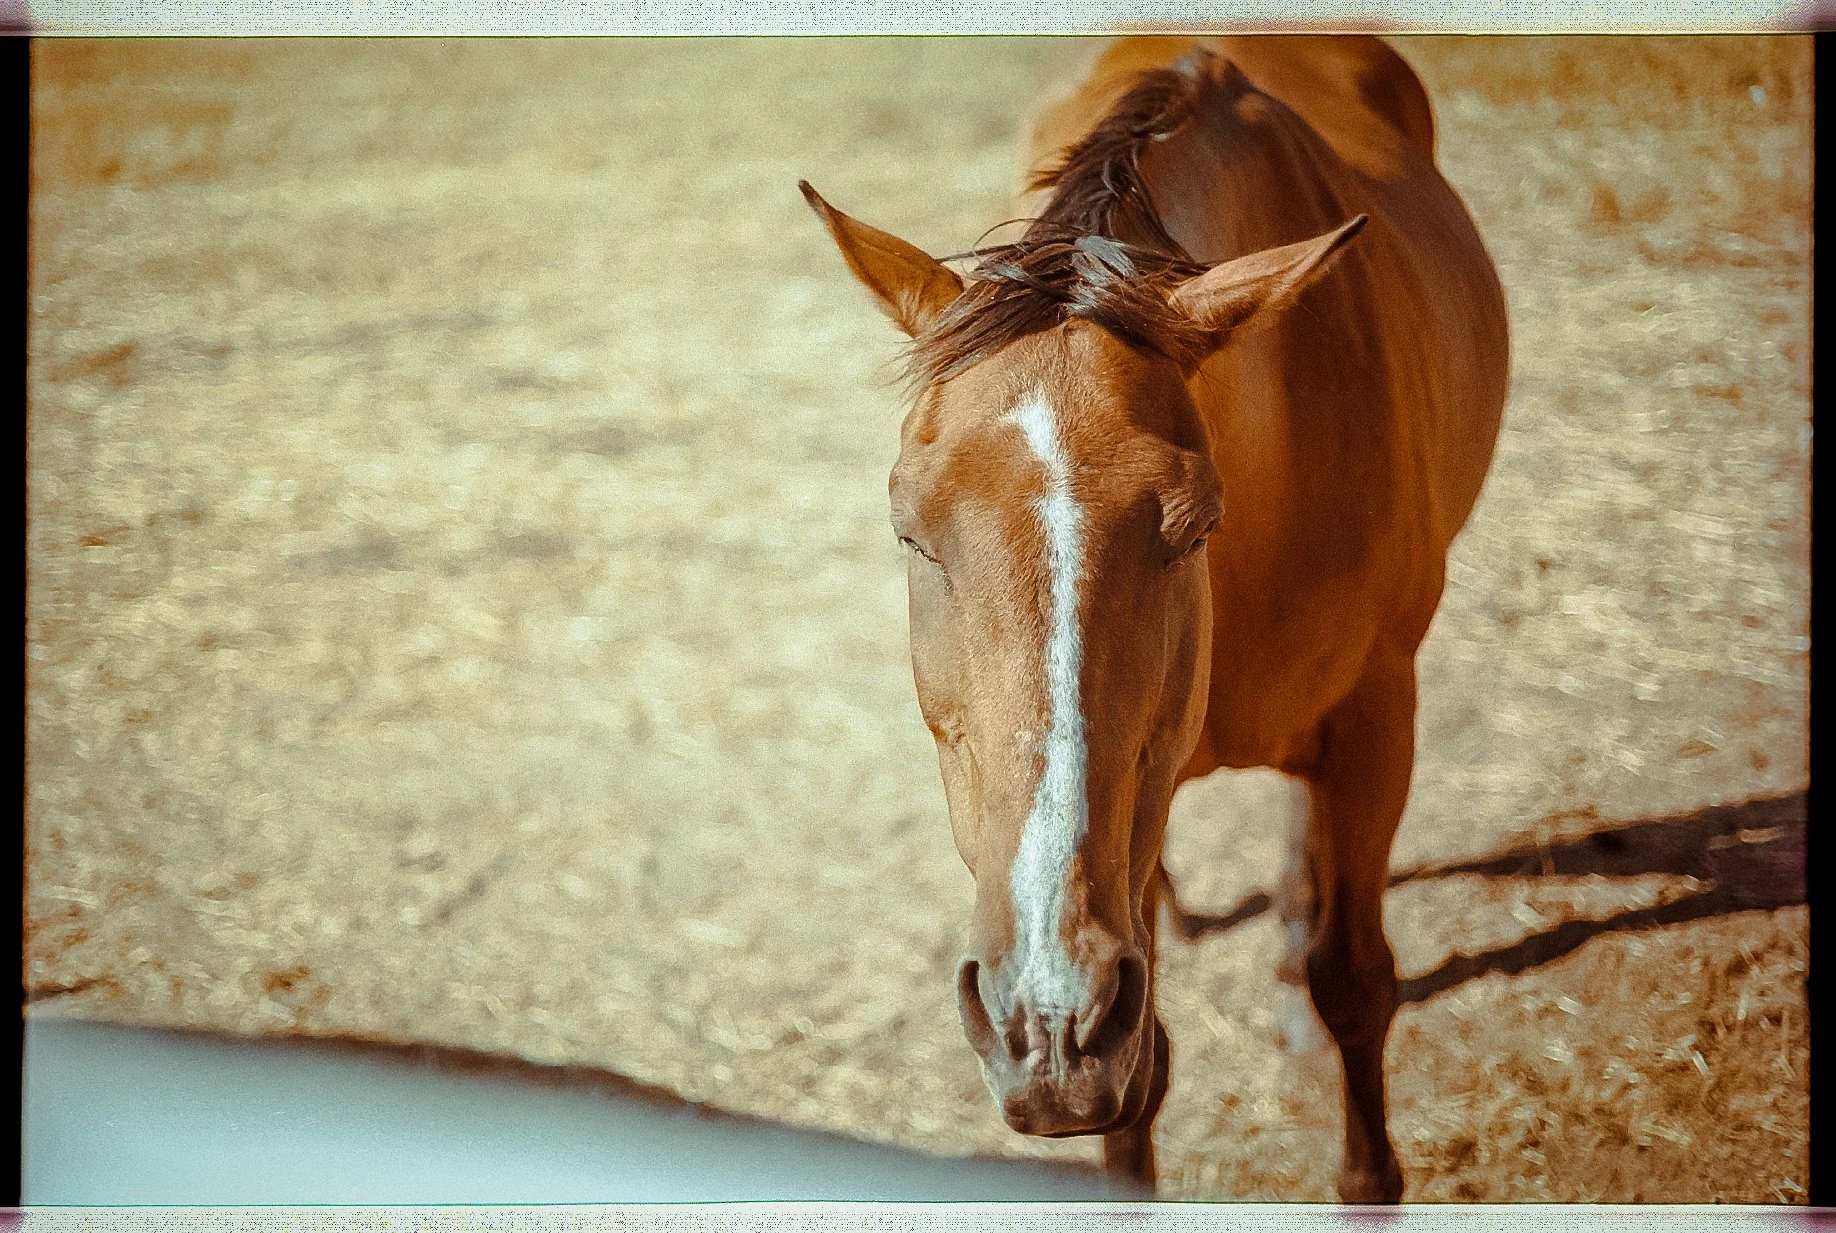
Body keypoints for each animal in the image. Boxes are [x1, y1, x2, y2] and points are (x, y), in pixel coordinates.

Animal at [800, 34, 1508, 1202]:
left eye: (1192, 522)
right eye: (911, 532)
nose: (1040, 1022)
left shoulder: (1378, 717)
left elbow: (1356, 983)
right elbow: (1139, 1087)